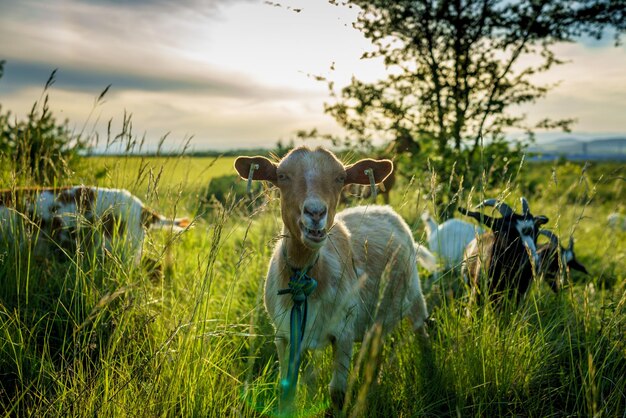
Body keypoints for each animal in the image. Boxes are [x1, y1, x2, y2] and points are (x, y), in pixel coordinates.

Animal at [234, 145, 434, 414]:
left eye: (340, 178)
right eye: (282, 176)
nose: (315, 212)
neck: (304, 279)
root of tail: (387, 211)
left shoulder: (344, 332)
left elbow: (337, 393)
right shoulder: (284, 335)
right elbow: (286, 389)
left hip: (414, 295)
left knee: (421, 332)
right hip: (376, 319)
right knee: (376, 351)